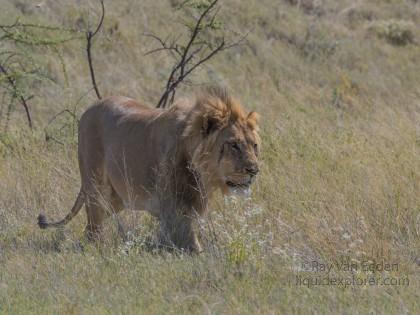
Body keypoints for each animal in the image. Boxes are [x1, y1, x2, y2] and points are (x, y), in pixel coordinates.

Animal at [37, 87, 260, 254]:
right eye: (234, 145)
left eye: (254, 145)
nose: (254, 170)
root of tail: (89, 109)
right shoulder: (174, 206)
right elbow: (189, 242)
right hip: (95, 185)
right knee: (93, 225)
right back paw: (97, 249)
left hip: (116, 198)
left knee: (91, 225)